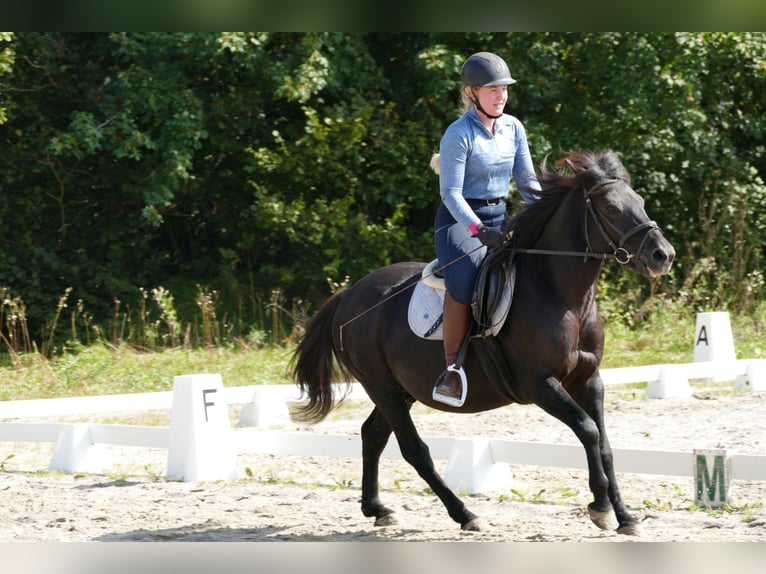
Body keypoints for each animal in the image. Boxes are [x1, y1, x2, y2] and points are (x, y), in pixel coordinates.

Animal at [292, 151, 676, 536]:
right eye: (611, 207)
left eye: (640, 202)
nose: (663, 255)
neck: (561, 295)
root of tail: (350, 295)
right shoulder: (539, 384)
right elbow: (588, 430)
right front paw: (600, 507)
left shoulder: (589, 379)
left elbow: (605, 444)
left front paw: (625, 516)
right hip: (381, 387)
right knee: (413, 449)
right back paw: (464, 514)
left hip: (401, 391)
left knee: (373, 435)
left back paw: (378, 509)